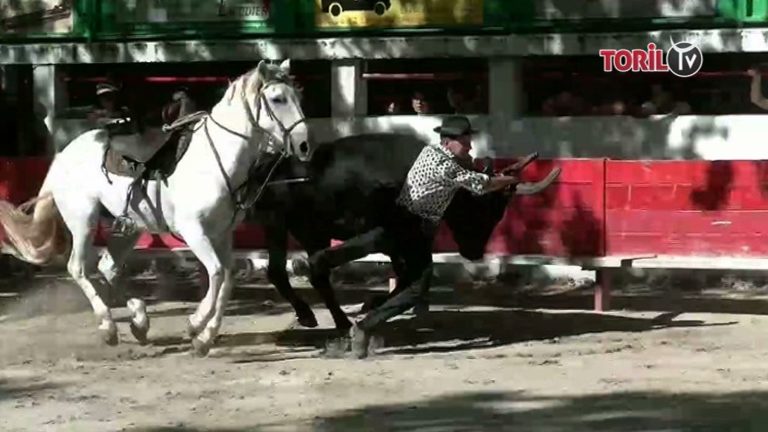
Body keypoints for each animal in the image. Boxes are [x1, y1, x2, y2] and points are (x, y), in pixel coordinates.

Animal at [0, 59, 308, 356]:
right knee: (78, 268)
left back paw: (139, 321)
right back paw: (109, 327)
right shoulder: (194, 232)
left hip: (128, 227)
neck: (215, 159)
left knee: (108, 266)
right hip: (83, 221)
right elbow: (218, 273)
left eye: (298, 95)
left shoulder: (222, 234)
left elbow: (227, 278)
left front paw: (204, 337)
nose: (304, 145)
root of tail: (64, 154)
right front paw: (196, 325)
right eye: (278, 98)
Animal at [244, 132, 560, 358]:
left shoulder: (407, 243)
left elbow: (409, 281)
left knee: (298, 274)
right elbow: (411, 279)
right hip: (280, 224)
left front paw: (369, 309)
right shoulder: (391, 234)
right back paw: (320, 314)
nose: (475, 252)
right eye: (486, 209)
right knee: (287, 271)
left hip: (304, 230)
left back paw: (331, 320)